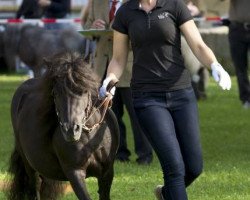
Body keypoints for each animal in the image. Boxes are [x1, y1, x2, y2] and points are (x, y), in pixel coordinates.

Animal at [7, 52, 119, 200]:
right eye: (55, 93)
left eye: (84, 90)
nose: (70, 130)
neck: (90, 137)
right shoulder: (75, 173)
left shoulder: (106, 173)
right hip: (30, 166)